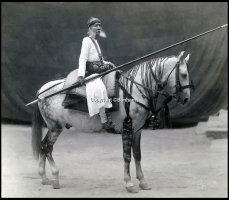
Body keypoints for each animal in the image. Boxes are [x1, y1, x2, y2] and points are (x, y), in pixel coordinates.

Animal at [31, 50, 194, 193]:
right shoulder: (127, 128)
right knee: (47, 147)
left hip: (53, 127)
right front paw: (129, 184)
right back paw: (55, 178)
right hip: (55, 126)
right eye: (184, 74)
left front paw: (143, 182)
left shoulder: (137, 131)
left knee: (43, 145)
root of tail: (42, 91)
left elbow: (138, 155)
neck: (134, 90)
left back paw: (44, 178)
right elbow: (127, 156)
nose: (186, 99)